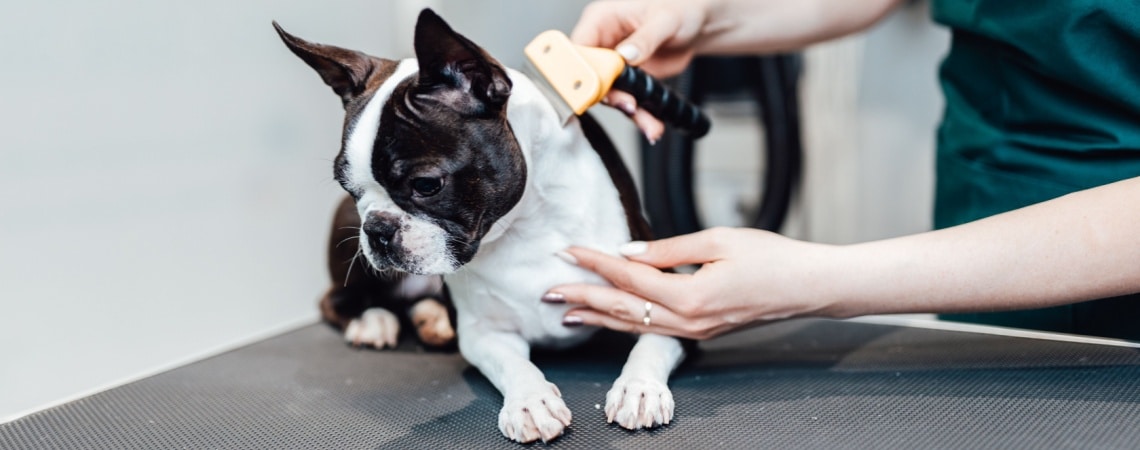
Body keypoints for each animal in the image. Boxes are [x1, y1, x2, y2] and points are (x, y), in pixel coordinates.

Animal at [275, 10, 684, 444]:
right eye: (347, 186)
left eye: (426, 185)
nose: (378, 229)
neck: (524, 226)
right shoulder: (483, 334)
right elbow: (514, 366)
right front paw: (531, 401)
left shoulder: (666, 296)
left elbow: (652, 342)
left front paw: (639, 389)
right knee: (335, 300)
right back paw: (372, 321)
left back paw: (433, 320)